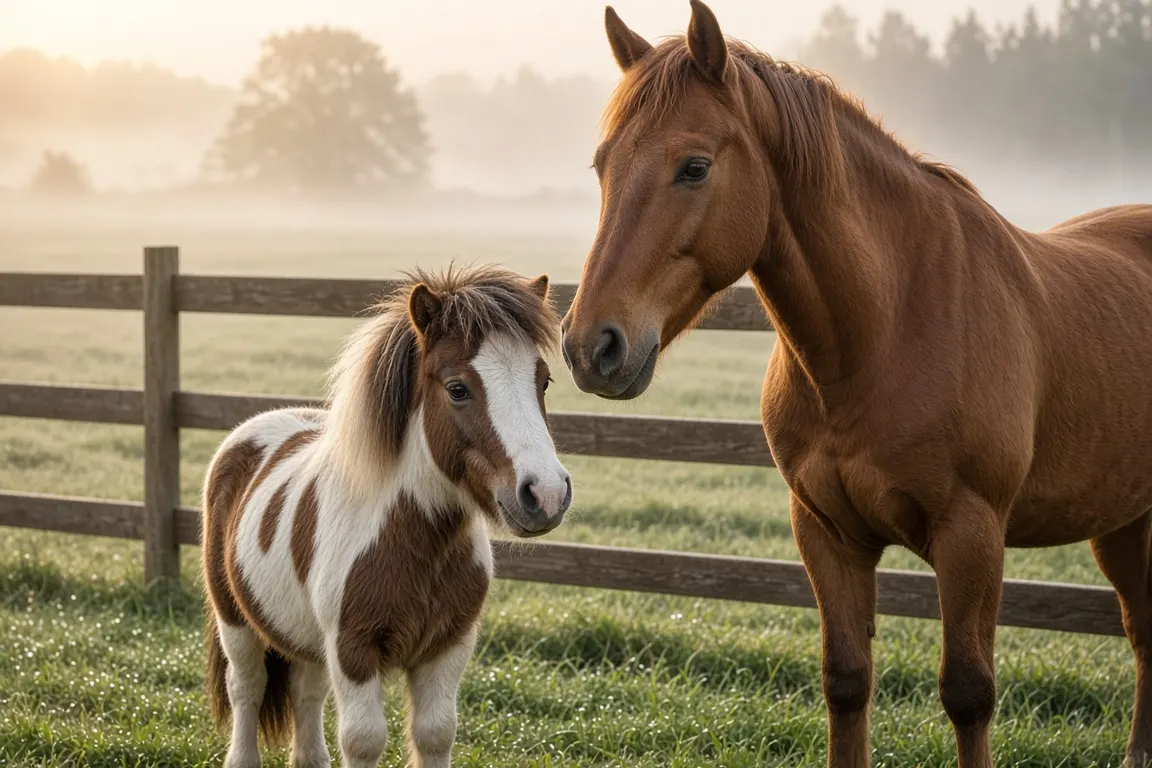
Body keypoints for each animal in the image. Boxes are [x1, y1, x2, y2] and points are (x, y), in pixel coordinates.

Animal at [200, 264, 573, 768]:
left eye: (544, 380)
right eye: (457, 389)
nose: (546, 494)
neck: (411, 540)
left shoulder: (449, 646)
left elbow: (435, 733)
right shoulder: (353, 649)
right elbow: (363, 739)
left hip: (308, 638)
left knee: (306, 693)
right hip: (235, 620)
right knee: (247, 688)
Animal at [560, 2, 1152, 766]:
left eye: (693, 167)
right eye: (603, 165)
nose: (590, 346)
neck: (885, 333)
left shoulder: (971, 535)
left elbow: (969, 692)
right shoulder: (826, 532)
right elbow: (845, 681)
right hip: (1123, 520)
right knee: (1143, 629)